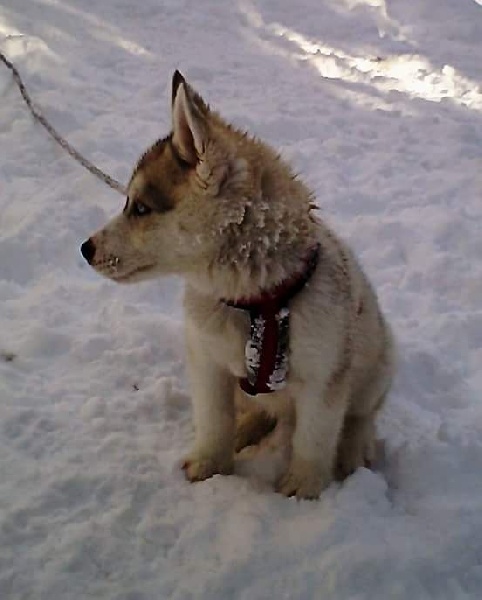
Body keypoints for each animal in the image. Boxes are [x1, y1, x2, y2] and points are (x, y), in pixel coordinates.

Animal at [81, 71, 395, 499]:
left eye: (140, 208)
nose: (85, 249)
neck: (257, 300)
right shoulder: (207, 362)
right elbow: (214, 420)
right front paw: (210, 465)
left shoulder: (324, 377)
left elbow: (314, 439)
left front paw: (302, 490)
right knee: (256, 410)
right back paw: (246, 429)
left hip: (377, 362)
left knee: (361, 414)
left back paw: (354, 448)